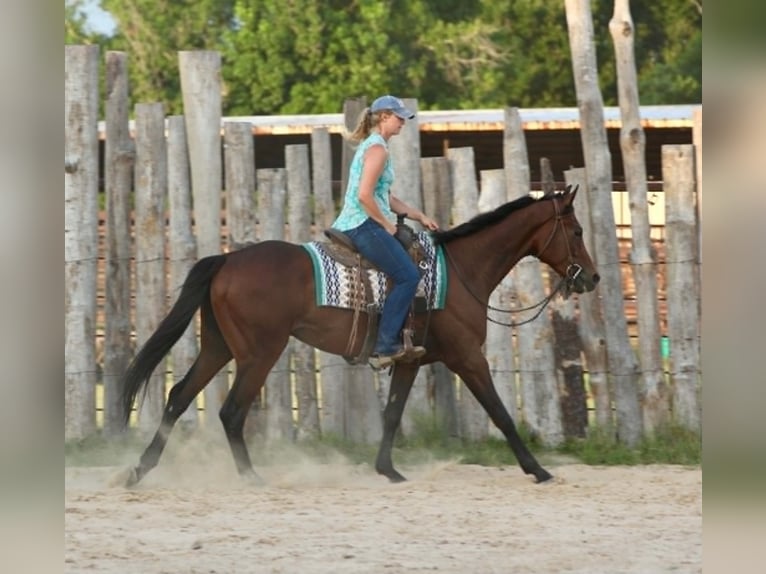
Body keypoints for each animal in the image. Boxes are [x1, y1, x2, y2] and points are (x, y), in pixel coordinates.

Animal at [119, 185, 599, 487]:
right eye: (577, 231)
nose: (591, 278)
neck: (461, 271)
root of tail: (226, 260)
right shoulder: (467, 357)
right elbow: (500, 413)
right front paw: (538, 470)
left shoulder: (409, 359)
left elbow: (392, 414)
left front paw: (388, 470)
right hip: (259, 352)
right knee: (231, 412)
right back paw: (250, 477)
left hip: (218, 347)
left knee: (179, 396)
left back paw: (139, 470)